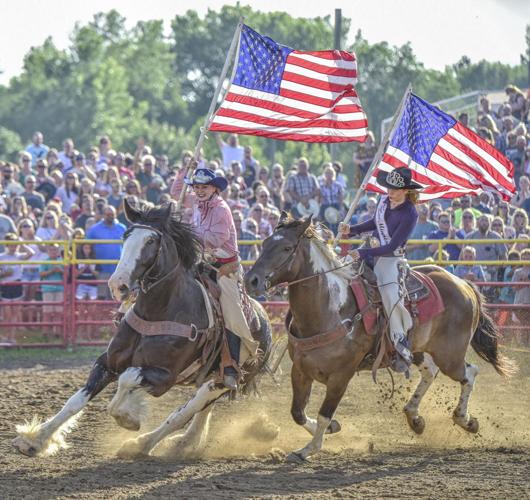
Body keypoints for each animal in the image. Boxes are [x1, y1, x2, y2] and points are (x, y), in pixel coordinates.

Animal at [13, 199, 270, 458]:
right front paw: (35, 439)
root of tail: (265, 321)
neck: (157, 312)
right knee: (201, 411)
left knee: (186, 411)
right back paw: (183, 443)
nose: (118, 285)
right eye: (126, 236)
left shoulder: (164, 376)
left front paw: (127, 416)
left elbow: (128, 379)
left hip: (221, 381)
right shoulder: (107, 361)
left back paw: (142, 444)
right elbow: (76, 401)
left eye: (150, 240)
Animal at [244, 214, 512, 460]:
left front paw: (309, 448)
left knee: (470, 373)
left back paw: (465, 420)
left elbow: (324, 414)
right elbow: (297, 412)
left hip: (450, 355)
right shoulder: (299, 369)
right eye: (265, 243)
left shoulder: (341, 375)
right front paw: (330, 430)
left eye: (287, 247)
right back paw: (414, 417)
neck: (330, 309)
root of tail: (464, 284)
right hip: (415, 350)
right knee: (431, 372)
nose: (251, 280)